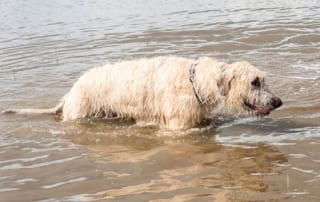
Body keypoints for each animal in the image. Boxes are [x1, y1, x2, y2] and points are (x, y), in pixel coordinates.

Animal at [3, 56, 282, 129]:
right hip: (79, 111)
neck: (196, 83)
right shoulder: (177, 127)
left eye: (262, 80)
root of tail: (70, 92)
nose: (279, 102)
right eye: (255, 82)